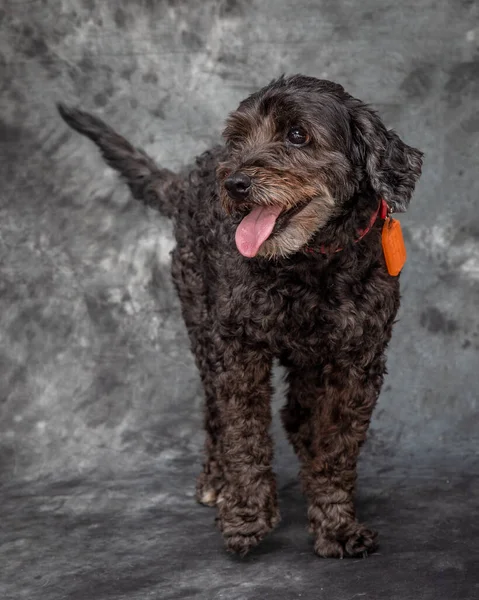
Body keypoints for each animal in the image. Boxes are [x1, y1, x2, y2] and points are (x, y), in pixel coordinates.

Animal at [57, 75, 424, 556]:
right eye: (239, 137)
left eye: (297, 135)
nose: (235, 184)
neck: (308, 264)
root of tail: (188, 180)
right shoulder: (238, 349)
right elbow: (242, 433)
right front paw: (247, 515)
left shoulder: (355, 360)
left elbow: (335, 445)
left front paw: (336, 523)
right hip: (200, 320)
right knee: (215, 412)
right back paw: (217, 480)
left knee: (296, 414)